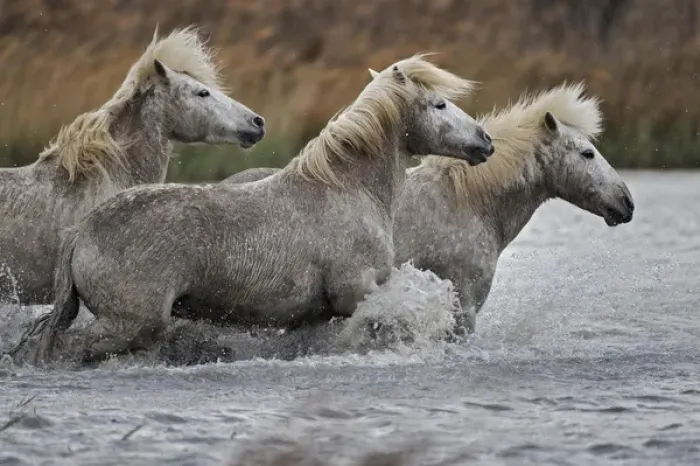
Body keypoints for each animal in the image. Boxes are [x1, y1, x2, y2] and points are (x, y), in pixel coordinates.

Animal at [24, 54, 494, 365]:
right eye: (439, 104)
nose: (485, 141)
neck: (346, 189)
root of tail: (81, 232)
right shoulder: (357, 290)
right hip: (129, 324)